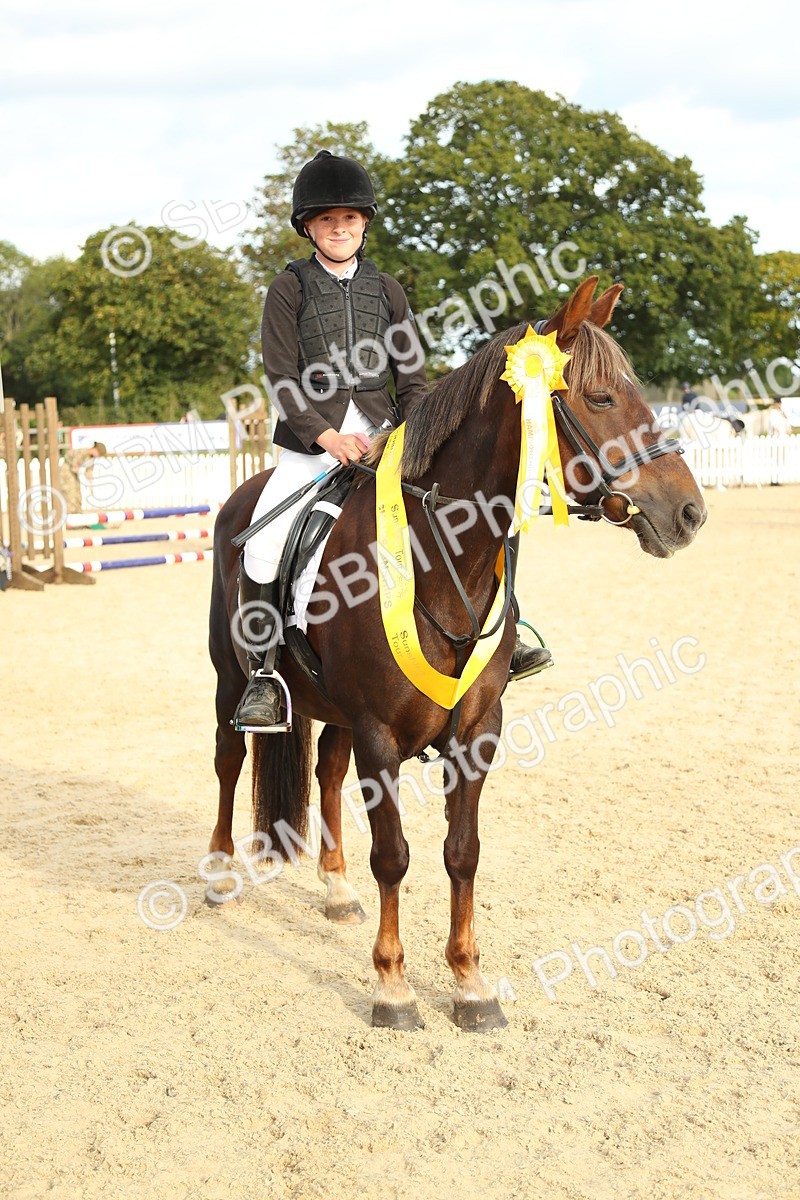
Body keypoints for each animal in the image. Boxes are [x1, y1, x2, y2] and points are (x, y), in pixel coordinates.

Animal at [207, 275, 707, 1032]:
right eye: (599, 398)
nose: (688, 513)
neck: (443, 558)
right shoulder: (380, 734)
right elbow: (394, 855)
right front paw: (392, 988)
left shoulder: (475, 732)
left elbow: (461, 853)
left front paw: (470, 984)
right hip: (228, 679)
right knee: (229, 762)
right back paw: (219, 875)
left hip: (335, 710)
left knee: (325, 772)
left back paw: (335, 891)